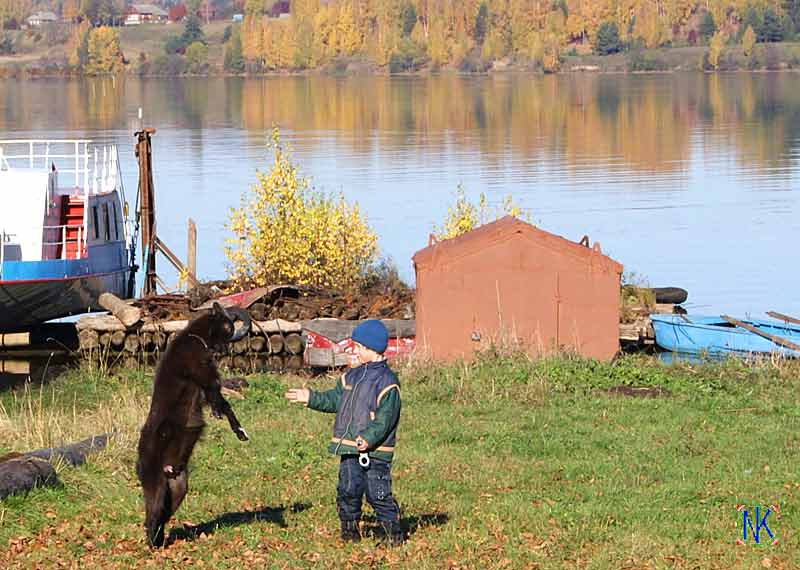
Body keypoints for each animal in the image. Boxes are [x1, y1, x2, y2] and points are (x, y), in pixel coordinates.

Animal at [136, 302, 252, 544]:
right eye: (228, 326)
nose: (226, 350)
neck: (196, 337)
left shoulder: (207, 385)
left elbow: (226, 405)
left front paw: (239, 431)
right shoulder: (201, 372)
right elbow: (216, 394)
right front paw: (219, 413)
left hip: (178, 487)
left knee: (162, 516)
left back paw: (162, 540)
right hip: (157, 485)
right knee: (151, 517)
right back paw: (153, 544)